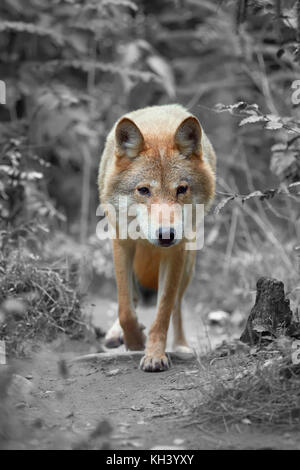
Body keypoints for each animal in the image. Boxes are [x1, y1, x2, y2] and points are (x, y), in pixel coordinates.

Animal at [98, 104, 216, 372]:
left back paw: (181, 346)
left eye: (181, 189)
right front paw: (134, 341)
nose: (166, 235)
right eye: (144, 190)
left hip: (189, 263)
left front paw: (154, 355)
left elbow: (163, 311)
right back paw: (115, 334)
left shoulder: (175, 253)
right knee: (132, 296)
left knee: (177, 305)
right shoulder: (121, 243)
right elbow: (125, 308)